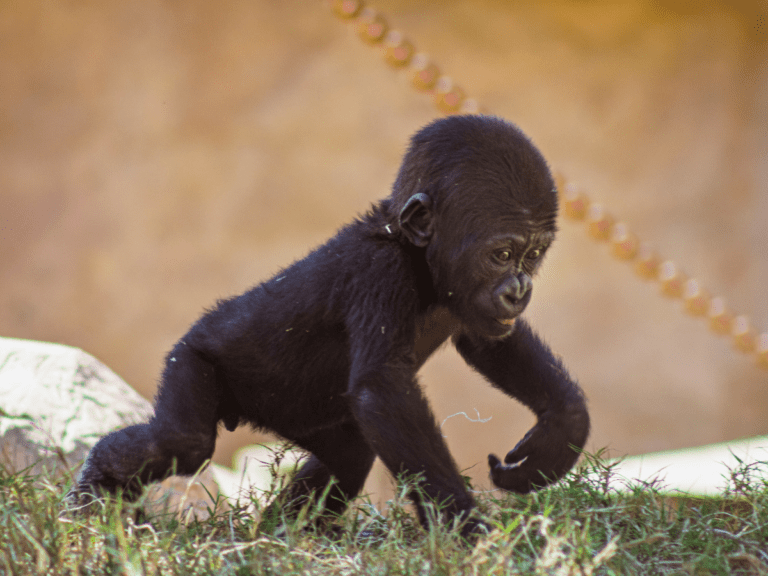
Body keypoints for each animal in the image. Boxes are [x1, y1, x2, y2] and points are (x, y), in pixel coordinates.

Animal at [70, 115, 588, 536]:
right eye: (501, 254)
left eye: (534, 255)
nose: (519, 289)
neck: (418, 255)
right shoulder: (380, 273)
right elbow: (383, 388)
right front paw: (467, 530)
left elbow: (489, 344)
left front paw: (561, 430)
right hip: (193, 358)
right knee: (183, 441)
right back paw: (95, 485)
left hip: (304, 413)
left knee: (347, 455)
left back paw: (283, 532)